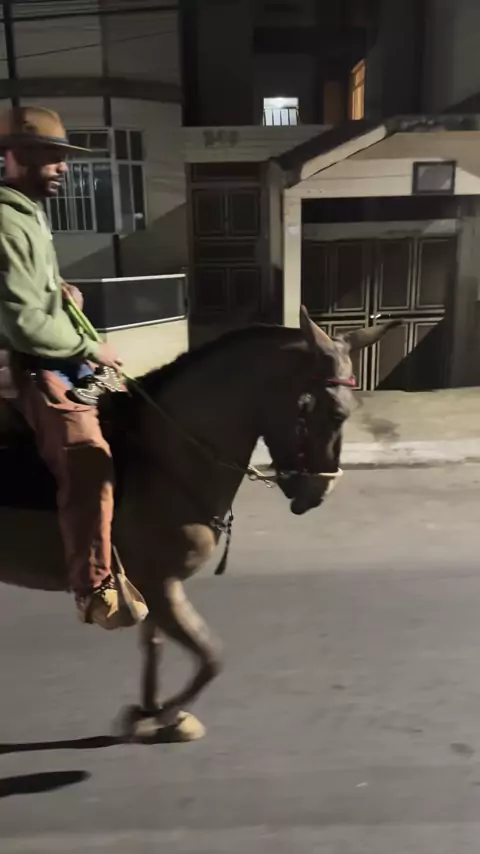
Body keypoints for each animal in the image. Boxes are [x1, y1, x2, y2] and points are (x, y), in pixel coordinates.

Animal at [0, 308, 400, 742]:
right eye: (334, 412)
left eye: (349, 411)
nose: (316, 494)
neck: (167, 454)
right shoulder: (161, 586)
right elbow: (212, 657)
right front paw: (160, 715)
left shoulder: (154, 588)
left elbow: (157, 646)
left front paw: (152, 710)